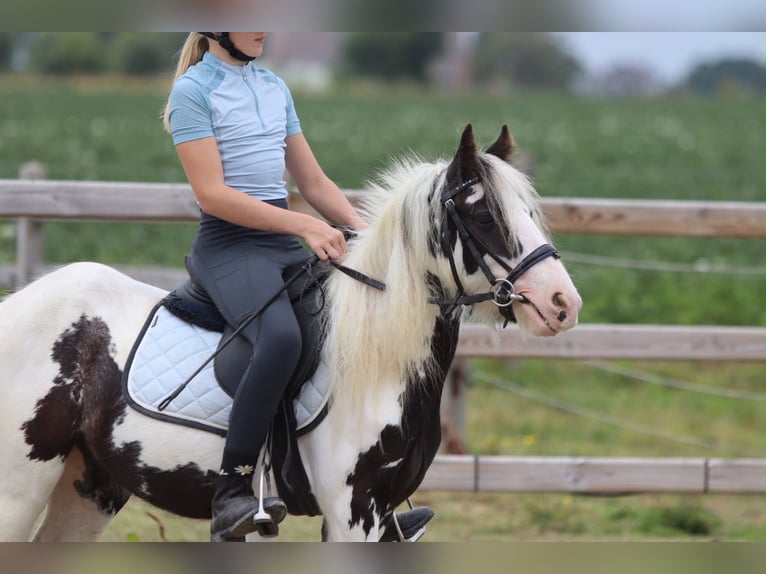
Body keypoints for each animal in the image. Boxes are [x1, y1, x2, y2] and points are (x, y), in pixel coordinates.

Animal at [0, 125, 581, 541]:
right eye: (484, 217)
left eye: (529, 212)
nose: (563, 305)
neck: (376, 360)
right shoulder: (353, 513)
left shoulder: (382, 516)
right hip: (19, 494)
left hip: (90, 488)